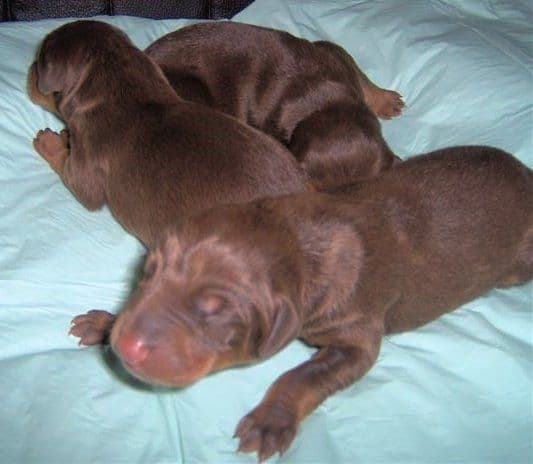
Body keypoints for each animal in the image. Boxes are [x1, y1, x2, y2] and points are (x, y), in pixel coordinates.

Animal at [29, 19, 310, 246]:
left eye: (40, 61)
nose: (30, 68)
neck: (123, 91)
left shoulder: (88, 158)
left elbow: (76, 180)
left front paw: (50, 141)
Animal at [70, 146, 532, 460]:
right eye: (149, 270)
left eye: (217, 311)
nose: (127, 346)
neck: (297, 239)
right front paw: (105, 323)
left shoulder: (358, 332)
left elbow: (303, 375)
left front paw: (270, 422)